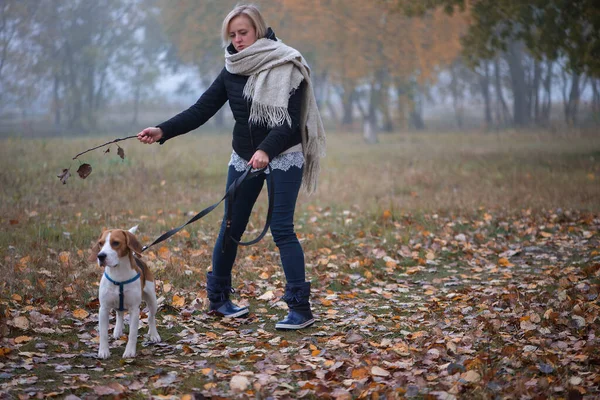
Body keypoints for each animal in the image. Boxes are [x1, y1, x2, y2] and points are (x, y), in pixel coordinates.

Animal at [88, 225, 161, 360]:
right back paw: (118, 330)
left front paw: (130, 352)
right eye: (100, 243)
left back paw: (153, 334)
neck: (118, 274)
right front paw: (103, 351)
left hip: (152, 300)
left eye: (116, 243)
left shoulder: (134, 310)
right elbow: (103, 334)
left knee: (151, 317)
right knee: (119, 314)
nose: (100, 256)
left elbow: (132, 333)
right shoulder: (103, 309)